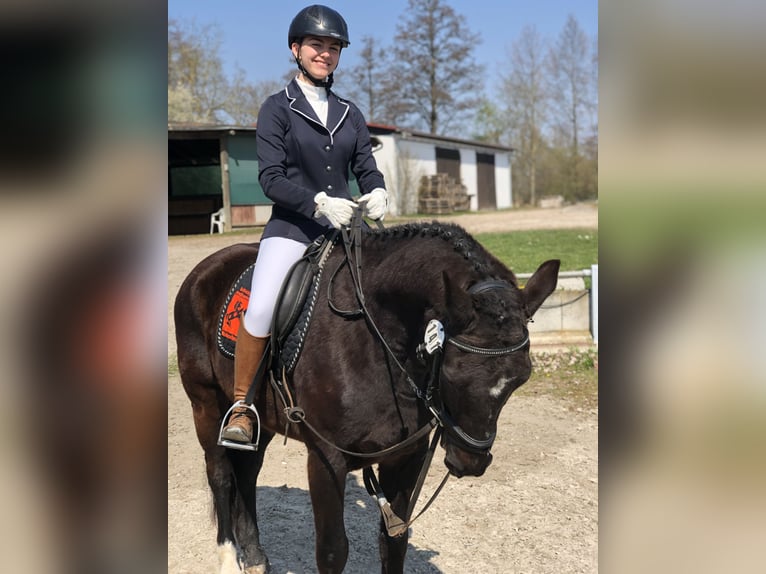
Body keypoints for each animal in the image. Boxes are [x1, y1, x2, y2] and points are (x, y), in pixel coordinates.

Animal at [172, 222, 560, 574]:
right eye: (453, 372)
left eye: (521, 379)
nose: (471, 461)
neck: (379, 337)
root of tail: (205, 269)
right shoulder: (326, 459)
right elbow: (332, 551)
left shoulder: (406, 456)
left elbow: (394, 540)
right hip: (206, 405)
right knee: (221, 474)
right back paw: (228, 559)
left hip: (262, 418)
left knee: (248, 471)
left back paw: (253, 557)